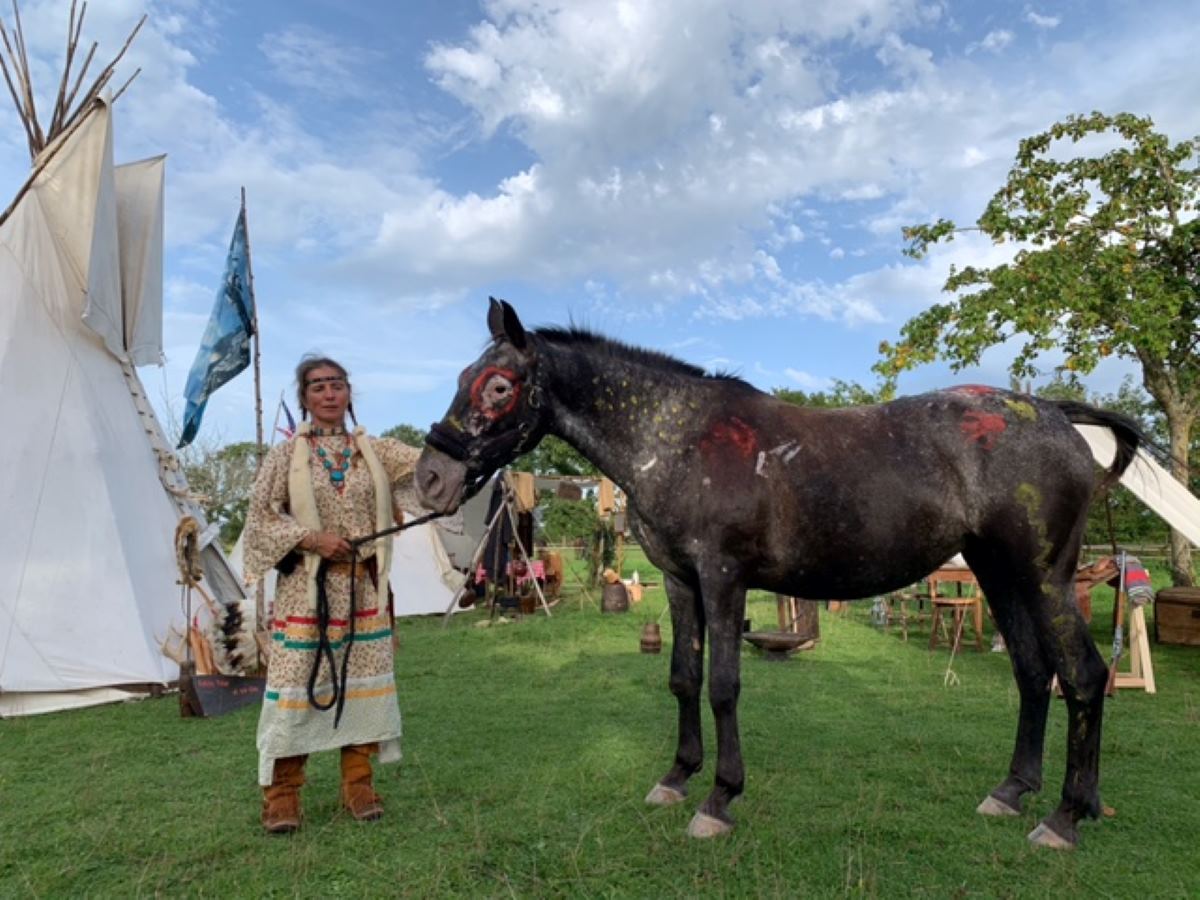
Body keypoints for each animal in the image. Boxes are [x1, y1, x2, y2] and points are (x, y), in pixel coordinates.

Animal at [417, 300, 1137, 849]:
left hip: (1043, 577)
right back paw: (1011, 792)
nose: (430, 479)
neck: (677, 438)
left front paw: (719, 799)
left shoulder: (724, 577)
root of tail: (1055, 415)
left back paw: (1065, 818)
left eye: (499, 386)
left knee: (1083, 676)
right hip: (1000, 574)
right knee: (1032, 674)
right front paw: (676, 778)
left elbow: (723, 685)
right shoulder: (680, 581)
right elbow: (682, 677)